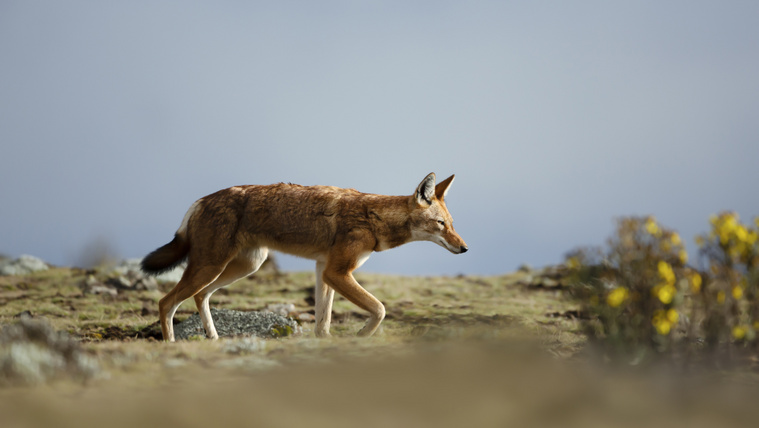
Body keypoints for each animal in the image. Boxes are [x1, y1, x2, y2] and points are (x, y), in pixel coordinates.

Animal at [140, 172, 466, 342]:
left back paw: (215, 340)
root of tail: (200, 200)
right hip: (213, 267)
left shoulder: (324, 269)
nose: (465, 249)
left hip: (242, 267)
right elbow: (380, 309)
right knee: (166, 302)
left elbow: (323, 323)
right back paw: (172, 345)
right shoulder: (336, 272)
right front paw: (361, 335)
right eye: (441, 224)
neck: (374, 217)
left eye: (451, 224)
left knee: (199, 297)